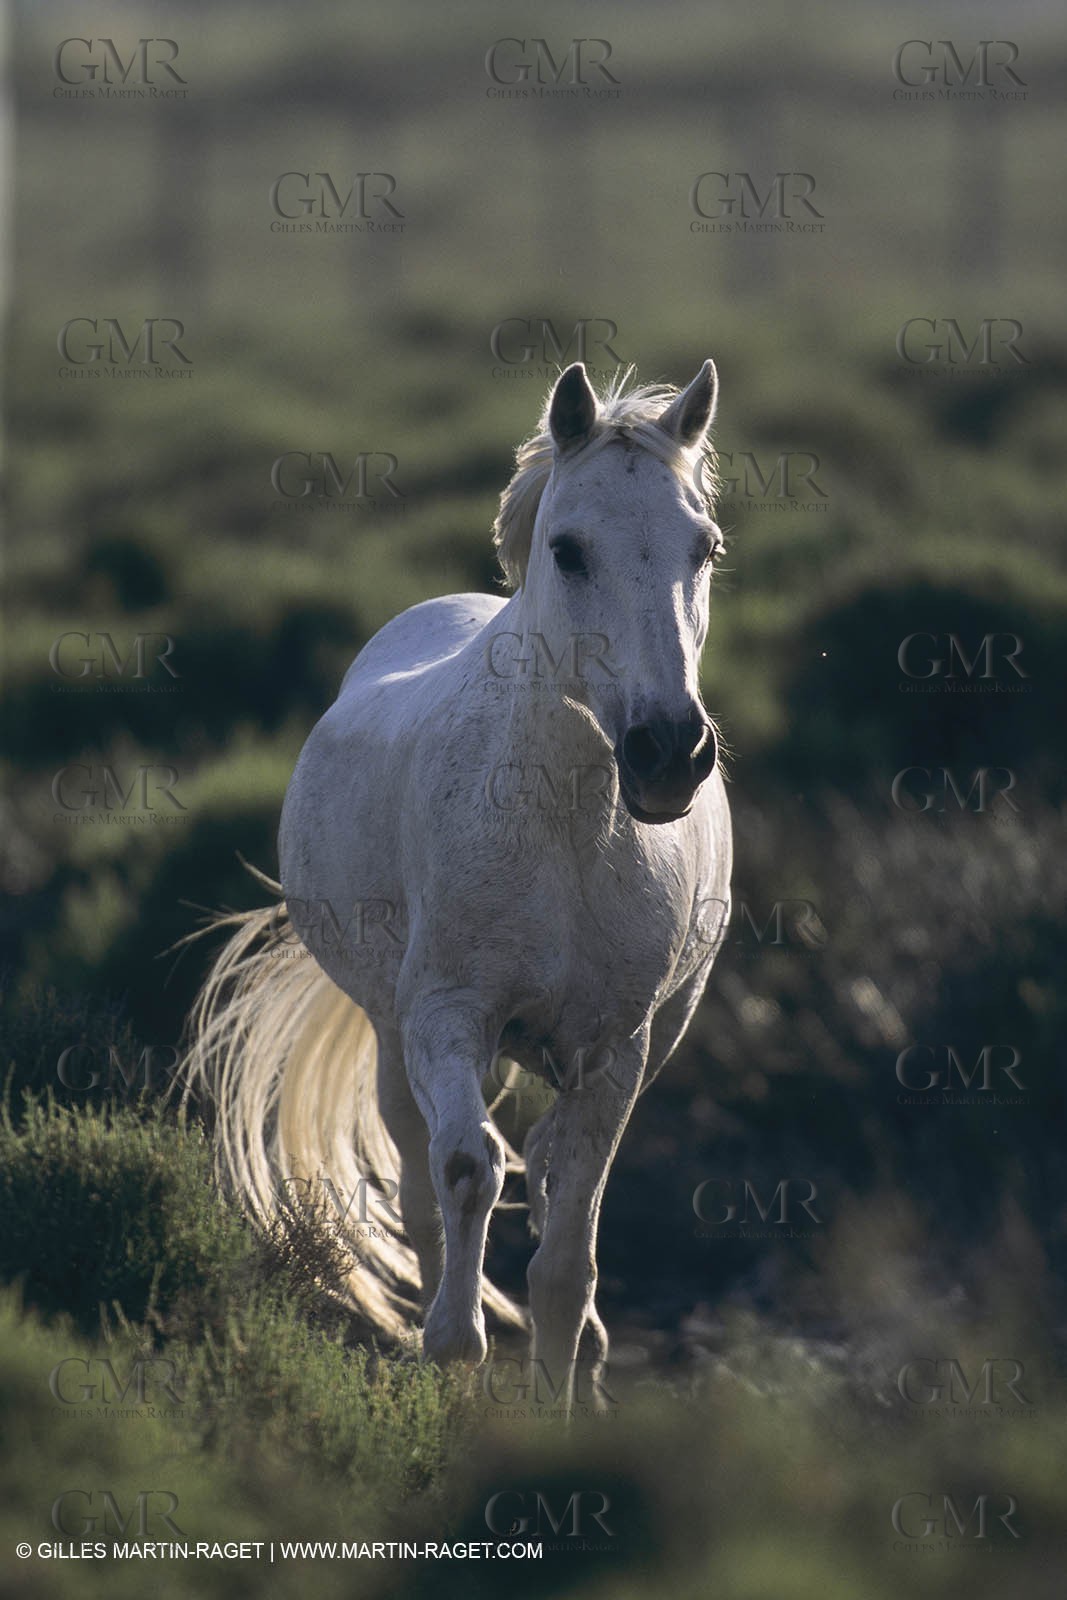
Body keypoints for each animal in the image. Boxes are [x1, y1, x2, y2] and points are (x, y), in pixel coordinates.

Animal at [183, 359, 732, 1408]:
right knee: (420, 1175)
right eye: (568, 549)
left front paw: (562, 1389)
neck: (566, 830)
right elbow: (467, 1170)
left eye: (705, 547)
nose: (668, 753)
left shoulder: (617, 1050)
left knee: (547, 1172)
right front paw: (452, 1350)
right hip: (395, 1035)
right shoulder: (446, 1016)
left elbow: (566, 1257)